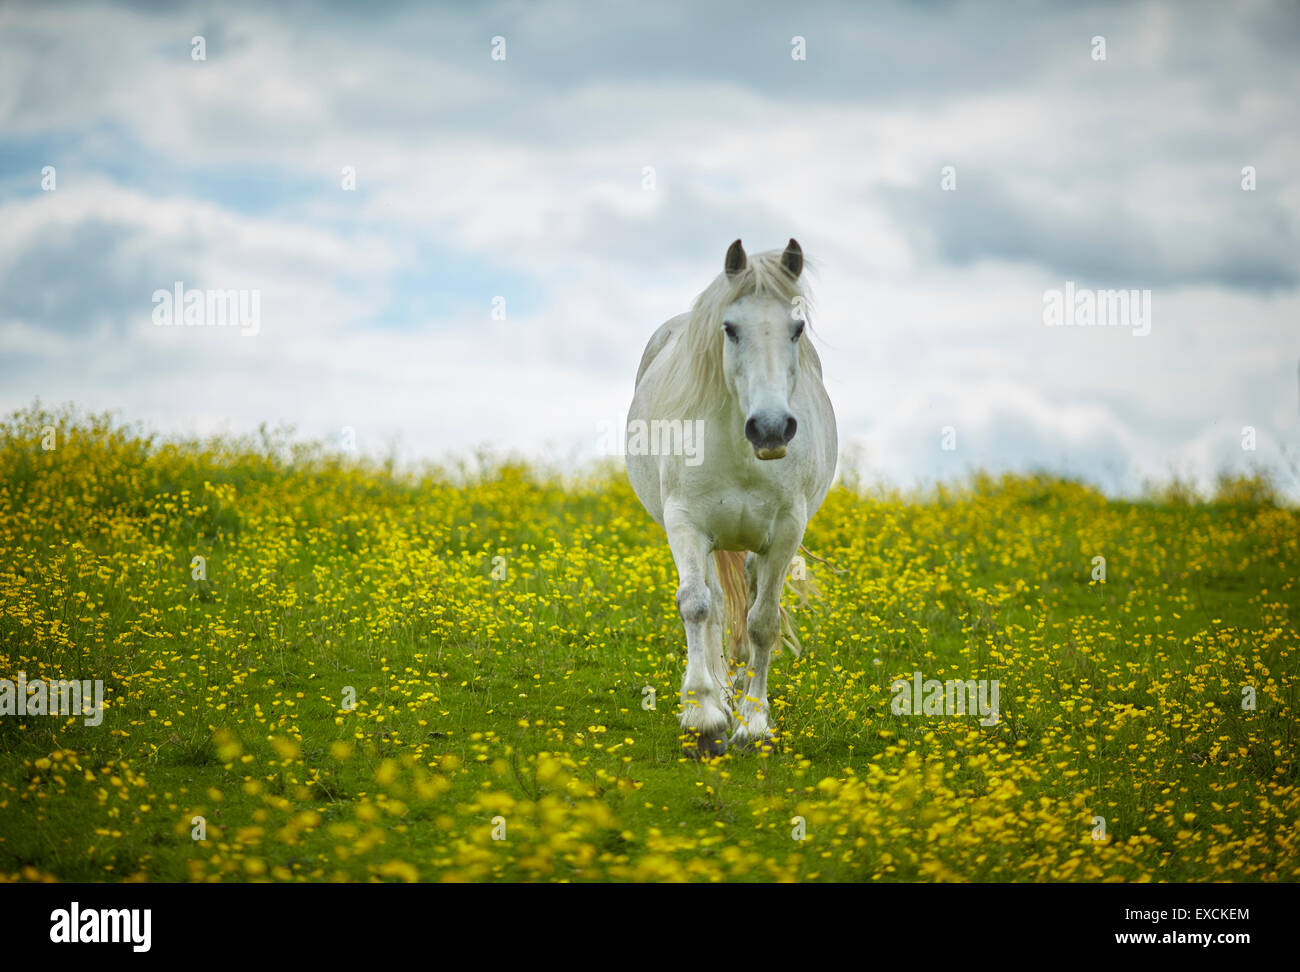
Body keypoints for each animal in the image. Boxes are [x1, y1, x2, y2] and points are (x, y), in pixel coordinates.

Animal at [626, 239, 832, 753]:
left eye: (797, 328)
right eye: (730, 329)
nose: (770, 428)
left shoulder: (786, 533)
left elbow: (763, 623)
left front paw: (754, 724)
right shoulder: (686, 524)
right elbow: (696, 605)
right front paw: (703, 717)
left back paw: (738, 693)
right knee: (716, 606)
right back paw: (720, 694)